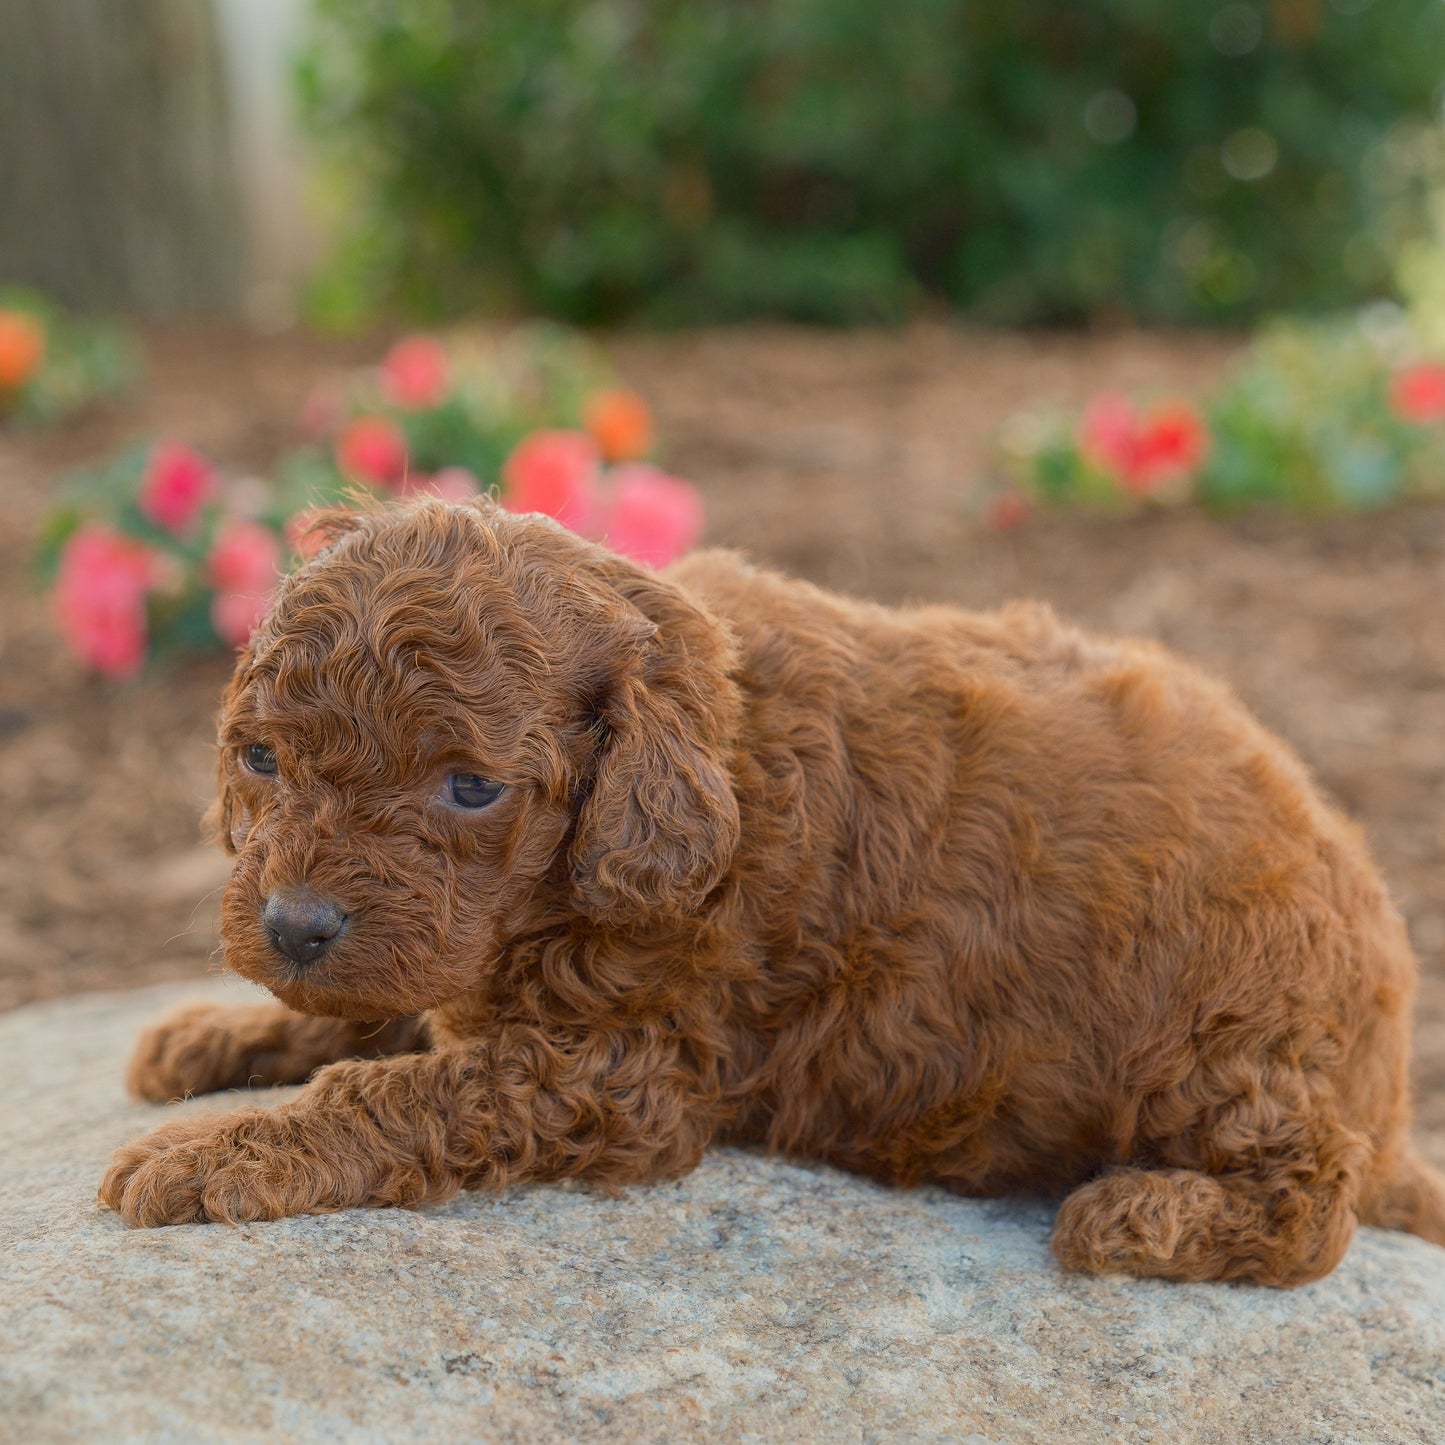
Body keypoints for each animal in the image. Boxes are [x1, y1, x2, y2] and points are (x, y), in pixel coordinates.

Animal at [106, 497, 1445, 1288]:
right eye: (259, 756)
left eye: (471, 787)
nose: (291, 925)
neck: (697, 740)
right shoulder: (461, 962)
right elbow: (387, 1013)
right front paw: (211, 1033)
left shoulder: (625, 1069)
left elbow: (402, 1085)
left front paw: (209, 1152)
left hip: (1231, 1044)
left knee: (1312, 1200)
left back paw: (1138, 1216)